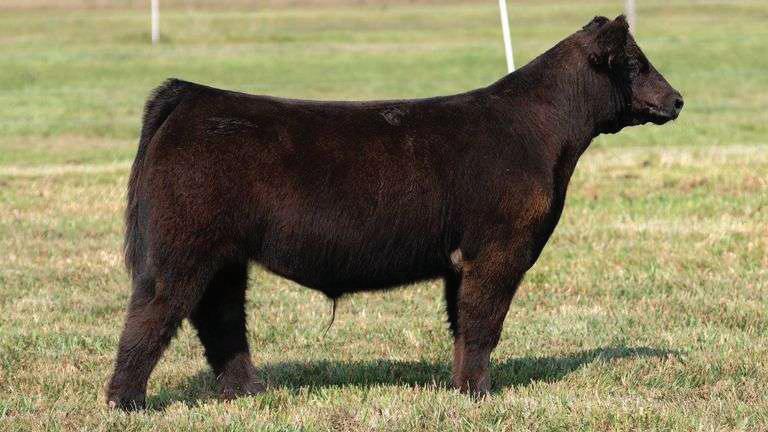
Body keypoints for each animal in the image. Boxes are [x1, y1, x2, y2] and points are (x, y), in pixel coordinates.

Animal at [107, 15, 683, 409]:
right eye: (634, 63)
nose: (677, 99)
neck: (542, 135)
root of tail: (191, 95)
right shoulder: (499, 251)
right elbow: (483, 323)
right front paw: (480, 395)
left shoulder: (461, 261)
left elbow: (462, 324)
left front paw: (462, 389)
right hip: (181, 251)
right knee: (152, 313)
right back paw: (127, 402)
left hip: (225, 258)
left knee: (220, 318)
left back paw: (249, 392)